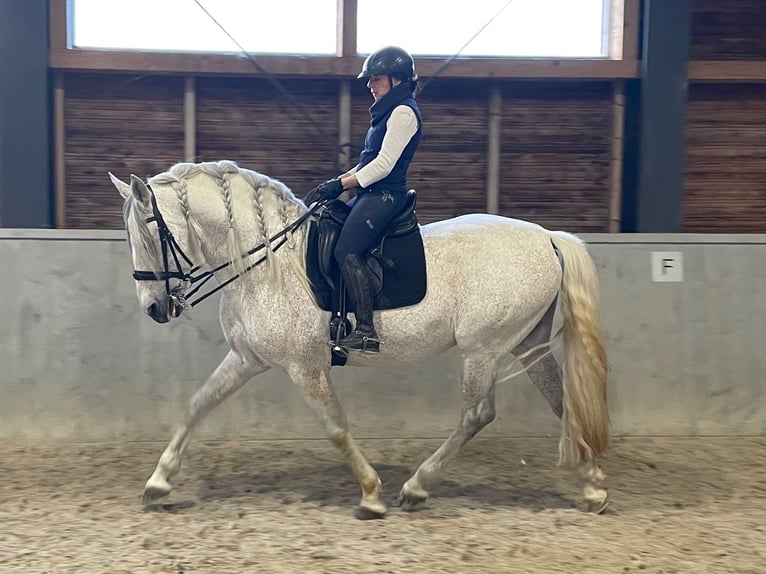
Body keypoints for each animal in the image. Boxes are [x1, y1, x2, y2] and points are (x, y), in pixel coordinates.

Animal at [108, 160, 612, 520]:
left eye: (150, 234)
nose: (155, 308)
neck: (270, 262)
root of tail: (547, 237)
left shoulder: (305, 366)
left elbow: (334, 426)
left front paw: (371, 494)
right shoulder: (247, 358)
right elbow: (198, 405)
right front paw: (158, 483)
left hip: (483, 348)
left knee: (477, 414)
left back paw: (417, 487)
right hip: (527, 343)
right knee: (560, 401)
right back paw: (593, 486)